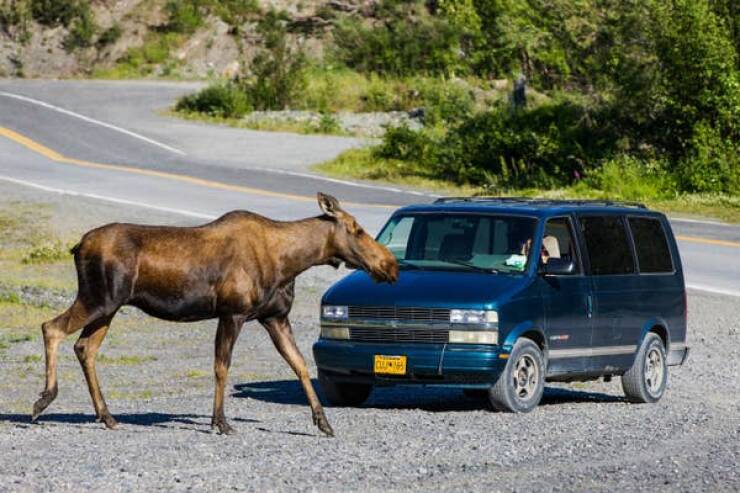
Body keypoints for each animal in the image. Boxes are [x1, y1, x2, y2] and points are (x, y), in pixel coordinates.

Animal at [31, 192, 398, 434]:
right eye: (357, 228)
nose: (390, 265)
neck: (291, 262)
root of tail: (77, 246)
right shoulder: (232, 312)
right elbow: (222, 367)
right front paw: (220, 421)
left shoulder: (274, 317)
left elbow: (300, 366)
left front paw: (323, 422)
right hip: (98, 298)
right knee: (51, 327)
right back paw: (44, 400)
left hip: (109, 307)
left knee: (84, 347)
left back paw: (106, 415)